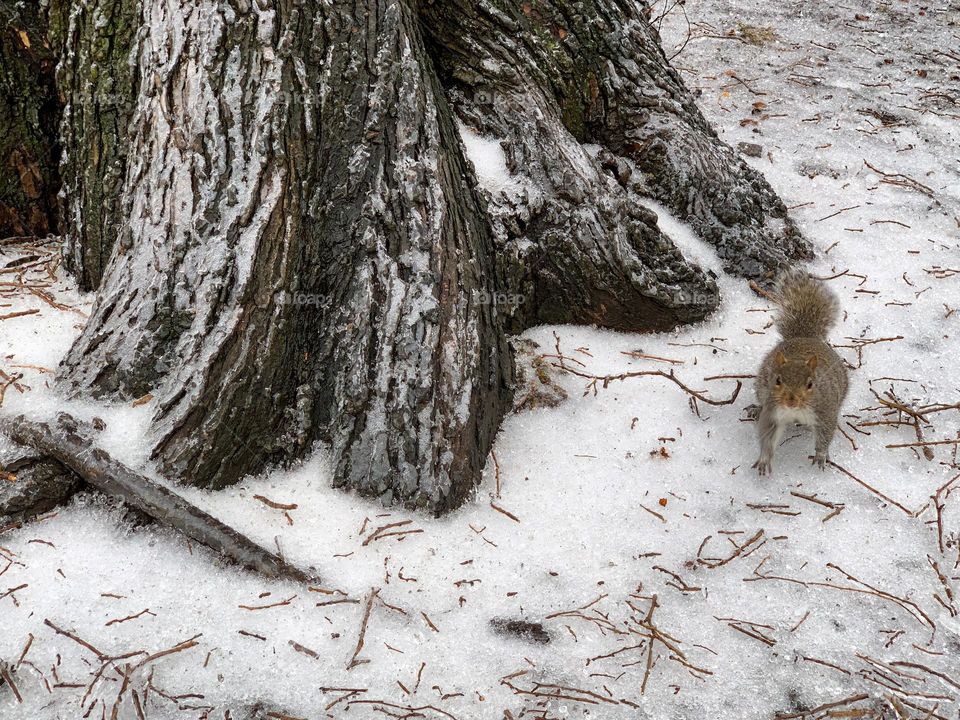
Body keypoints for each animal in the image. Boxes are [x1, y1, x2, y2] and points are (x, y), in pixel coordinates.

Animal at [752, 270, 849, 475]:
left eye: (810, 384)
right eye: (777, 380)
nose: (791, 401)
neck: (795, 411)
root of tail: (805, 336)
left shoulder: (825, 411)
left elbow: (825, 434)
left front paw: (821, 455)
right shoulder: (773, 412)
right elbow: (768, 436)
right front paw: (764, 458)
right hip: (761, 388)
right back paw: (755, 408)